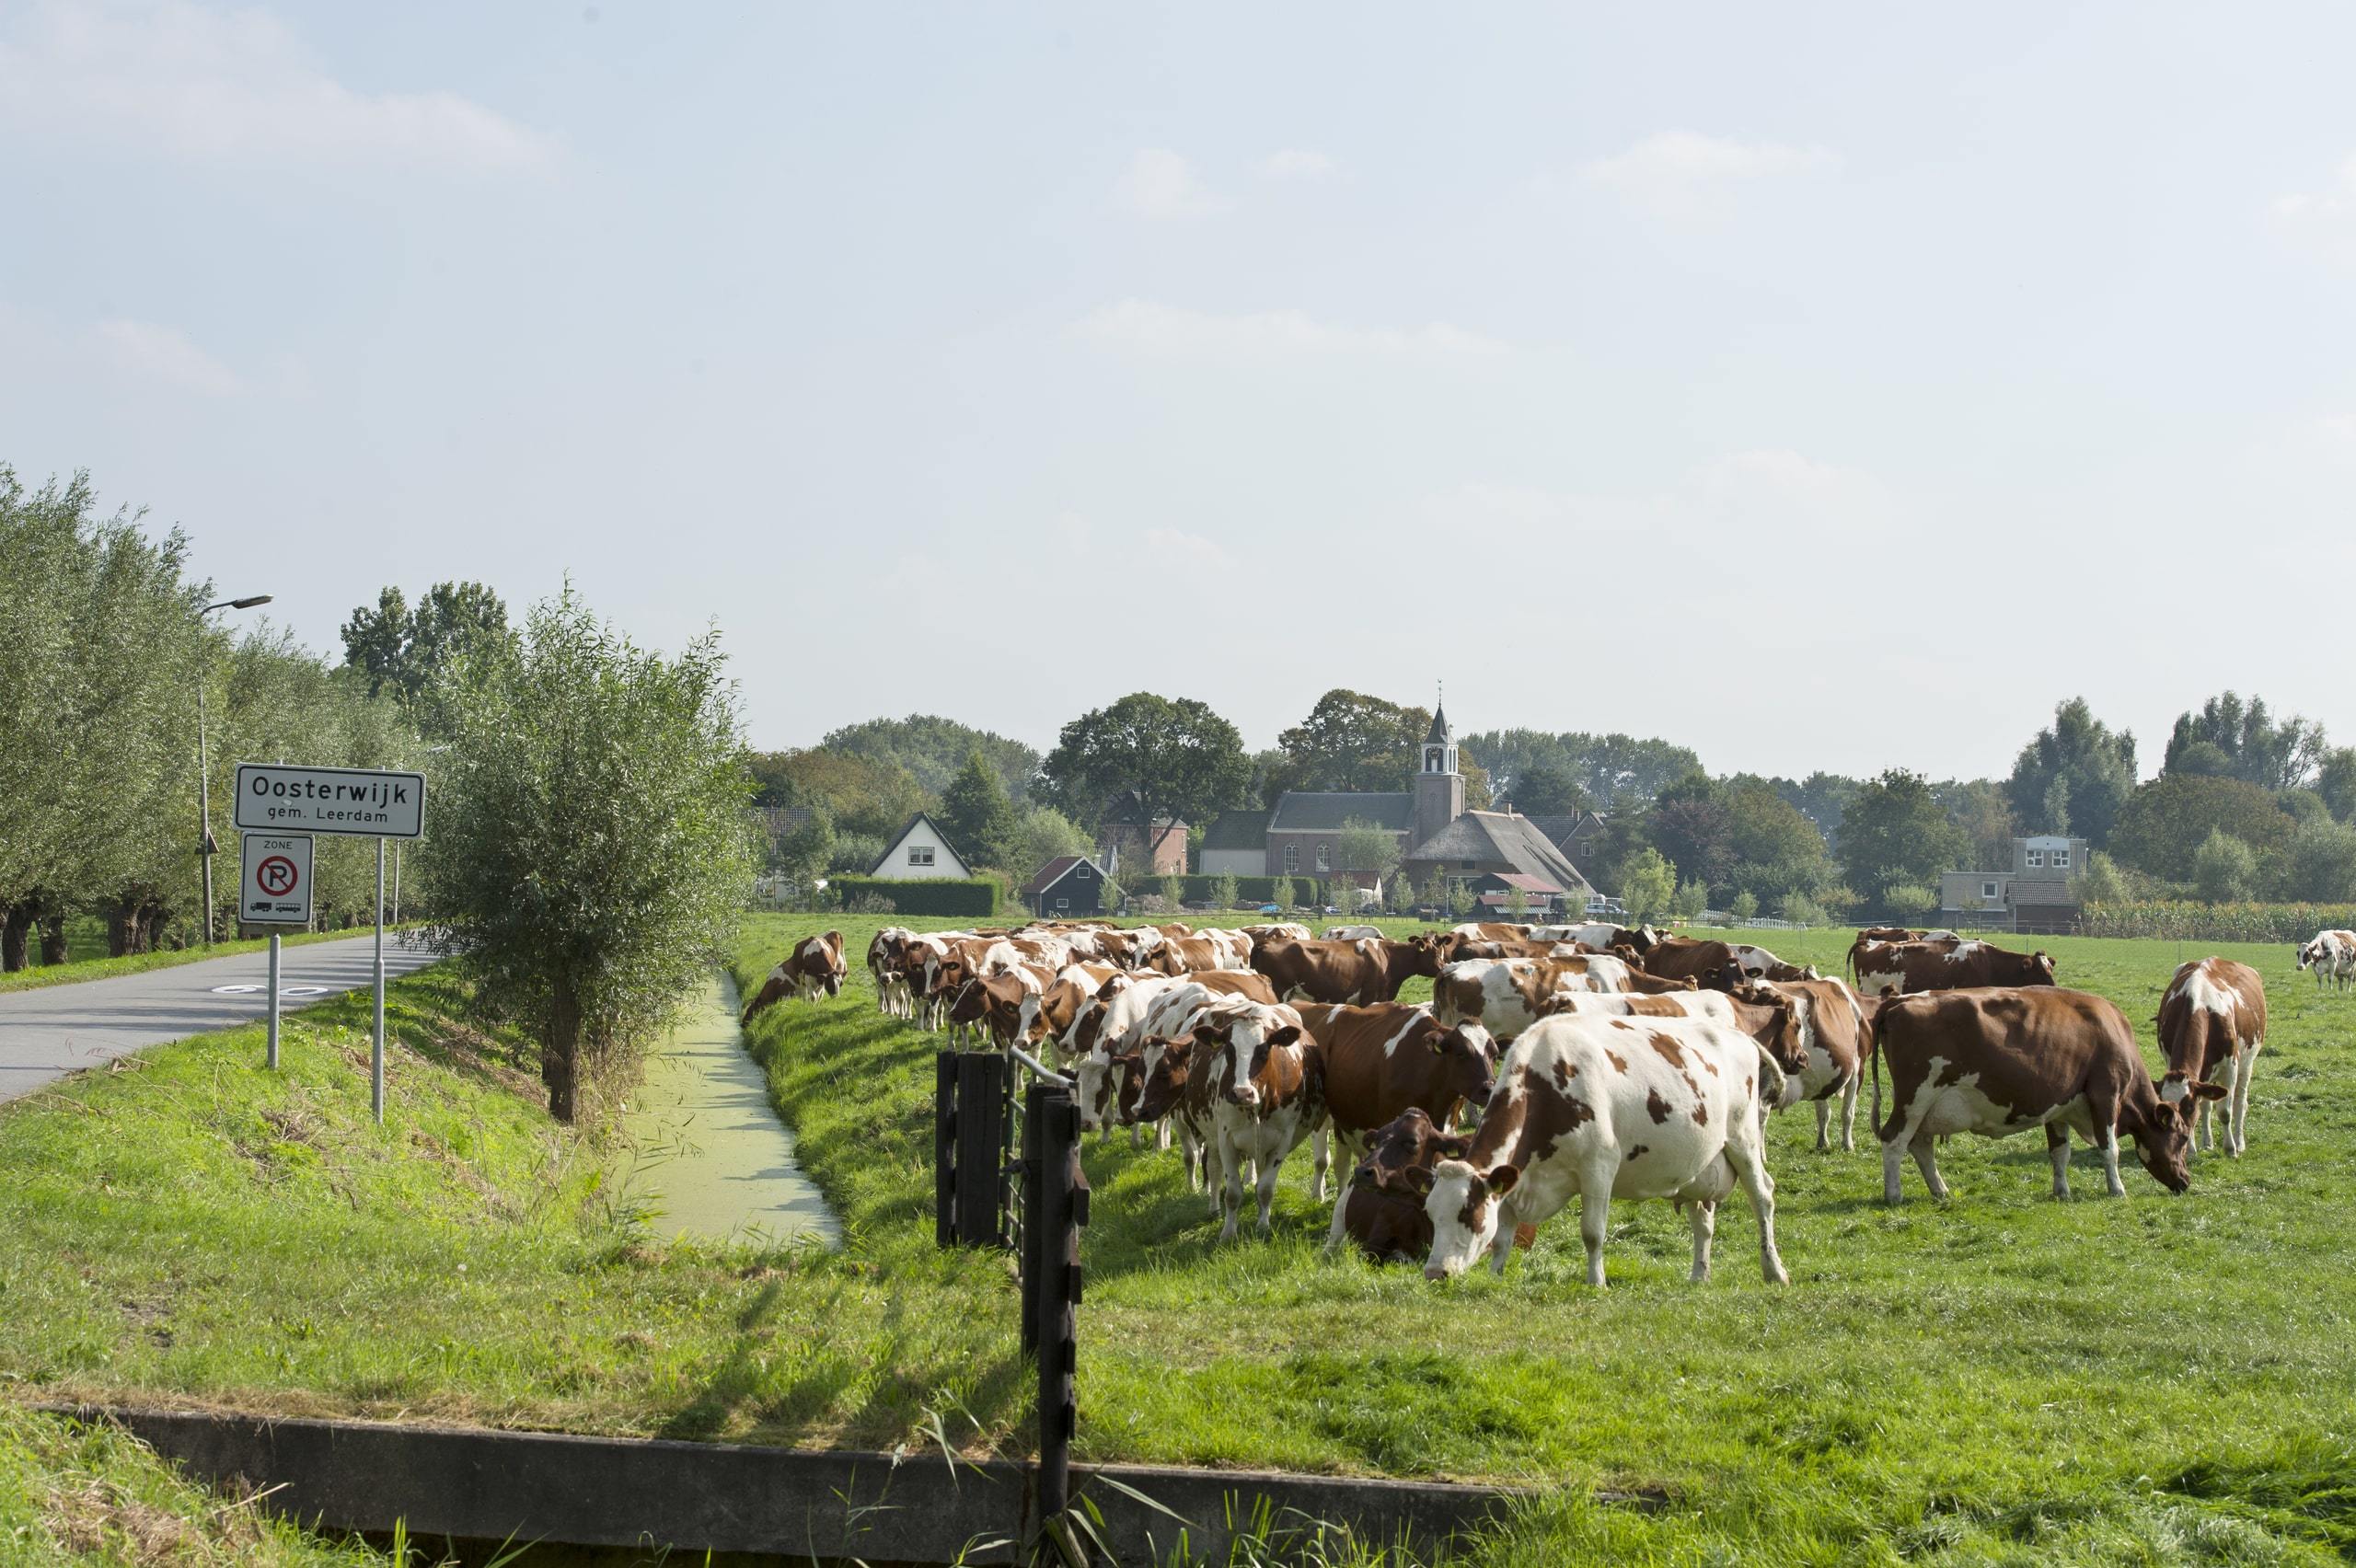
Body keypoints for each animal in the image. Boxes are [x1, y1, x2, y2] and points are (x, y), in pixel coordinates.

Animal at [1414, 1008, 1781, 1290]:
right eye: (1430, 1213)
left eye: (1467, 1213)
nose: (1434, 1273)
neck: (1544, 1085)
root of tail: (1737, 1035)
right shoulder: (1512, 1178)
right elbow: (1502, 1237)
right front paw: (1496, 1277)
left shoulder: (1599, 1166)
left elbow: (1592, 1233)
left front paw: (1596, 1282)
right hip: (1698, 1168)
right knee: (1703, 1220)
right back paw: (1699, 1276)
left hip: (1743, 1140)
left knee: (1763, 1197)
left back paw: (1774, 1270)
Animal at [1865, 984, 2214, 1200]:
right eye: (2183, 1137)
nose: (2185, 1181)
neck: (2113, 1030)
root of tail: (1900, 1001)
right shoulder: (2106, 1094)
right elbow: (2110, 1149)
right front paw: (2117, 1189)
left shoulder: (2060, 1105)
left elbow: (2060, 1152)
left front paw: (2062, 1191)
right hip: (1916, 1097)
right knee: (1894, 1140)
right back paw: (1894, 1193)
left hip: (1925, 1108)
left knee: (1920, 1144)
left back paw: (1940, 1190)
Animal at [2157, 946, 2270, 1153]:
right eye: (2166, 1107)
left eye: (2189, 1107)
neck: (2198, 1006)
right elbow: (2204, 1108)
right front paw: (2191, 1150)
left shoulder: (2230, 1067)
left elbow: (2225, 1111)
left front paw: (2230, 1149)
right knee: (2207, 1105)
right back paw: (2208, 1142)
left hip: (2247, 1063)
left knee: (2240, 1102)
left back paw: (2239, 1142)